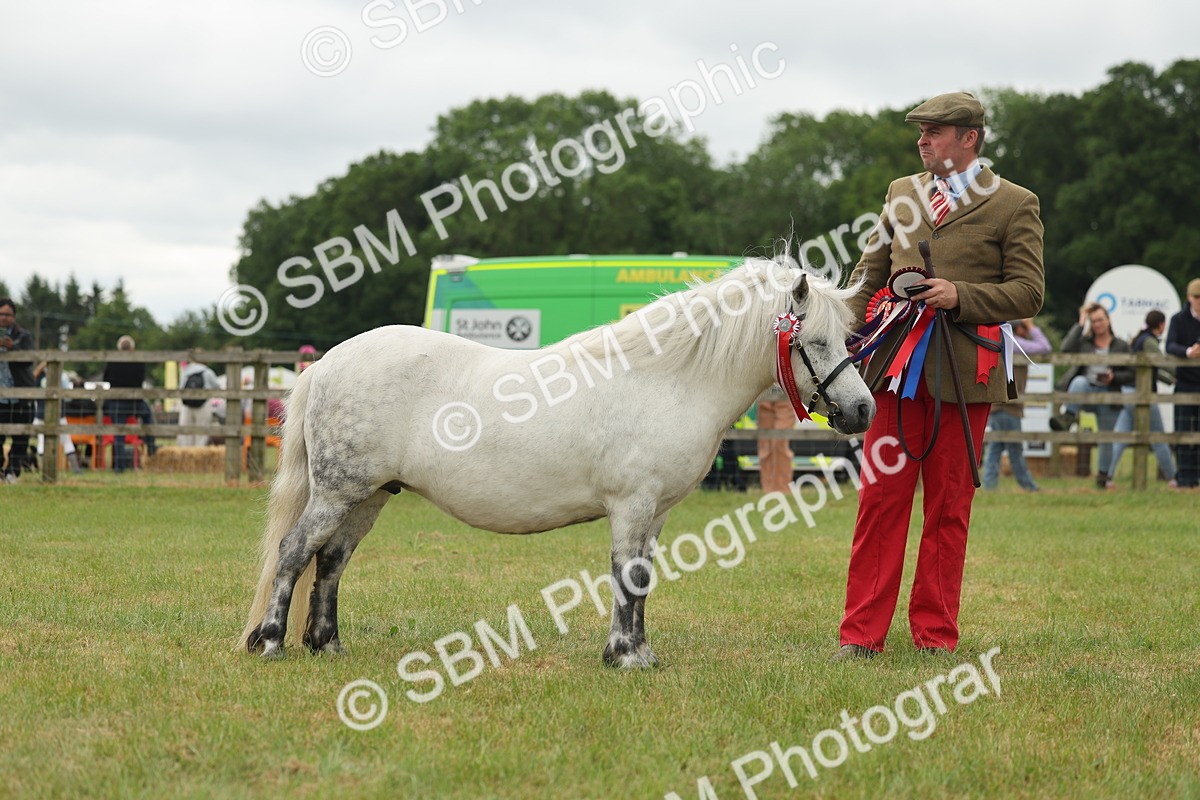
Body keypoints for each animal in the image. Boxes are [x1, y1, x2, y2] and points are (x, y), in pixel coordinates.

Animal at [240, 258, 876, 667]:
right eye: (816, 342)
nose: (863, 410)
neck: (667, 380)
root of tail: (327, 363)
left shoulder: (657, 513)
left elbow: (643, 578)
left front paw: (640, 652)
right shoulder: (632, 506)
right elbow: (627, 576)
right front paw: (624, 658)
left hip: (368, 496)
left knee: (330, 562)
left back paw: (327, 645)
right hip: (337, 492)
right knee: (294, 553)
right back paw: (271, 643)